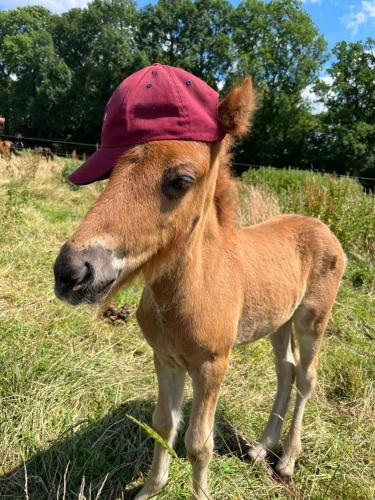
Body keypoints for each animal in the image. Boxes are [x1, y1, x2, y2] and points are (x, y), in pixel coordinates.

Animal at [53, 79, 346, 500]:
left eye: (181, 180)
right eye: (110, 174)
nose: (72, 272)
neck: (188, 291)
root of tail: (323, 227)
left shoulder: (212, 365)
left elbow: (198, 443)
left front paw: (200, 492)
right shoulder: (165, 359)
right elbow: (163, 426)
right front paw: (150, 489)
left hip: (312, 320)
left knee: (307, 377)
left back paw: (288, 460)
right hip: (278, 321)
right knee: (285, 371)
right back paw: (261, 447)